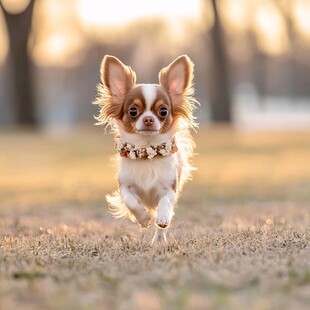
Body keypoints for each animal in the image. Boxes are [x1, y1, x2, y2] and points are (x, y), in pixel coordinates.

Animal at [93, 55, 197, 245]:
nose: (148, 119)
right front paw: (143, 218)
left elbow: (165, 202)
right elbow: (130, 201)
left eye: (163, 111)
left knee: (163, 222)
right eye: (133, 111)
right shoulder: (125, 186)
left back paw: (159, 239)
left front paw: (161, 218)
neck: (146, 152)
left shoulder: (170, 188)